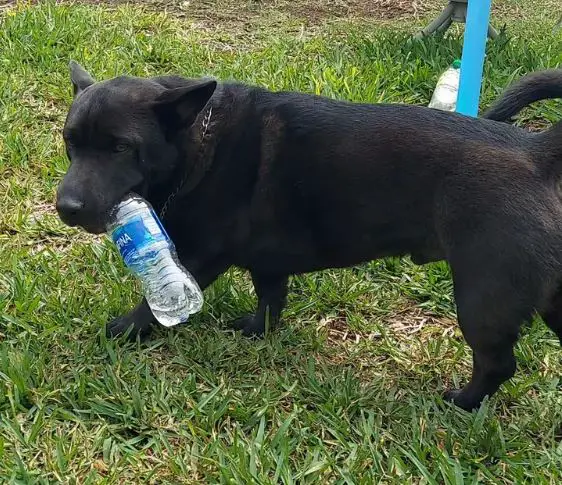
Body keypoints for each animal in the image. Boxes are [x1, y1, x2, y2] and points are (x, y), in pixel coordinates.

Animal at [57, 63, 560, 412]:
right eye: (70, 143)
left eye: (121, 147)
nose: (66, 207)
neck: (198, 140)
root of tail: (538, 151)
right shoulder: (267, 261)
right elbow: (270, 296)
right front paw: (257, 330)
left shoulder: (200, 257)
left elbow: (153, 303)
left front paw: (125, 328)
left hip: (482, 297)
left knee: (497, 363)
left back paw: (463, 402)